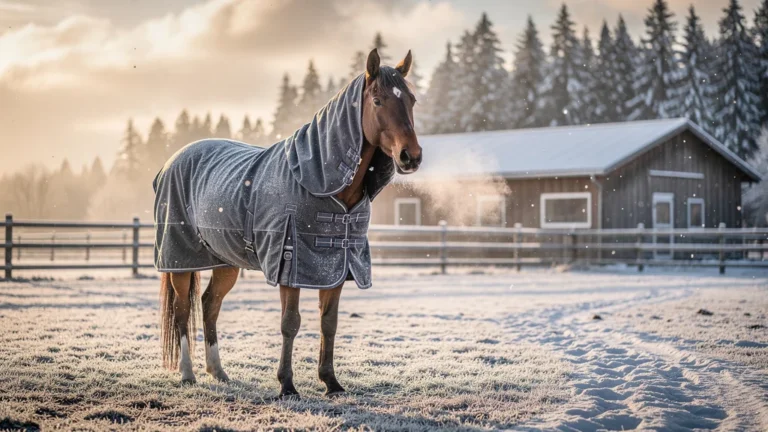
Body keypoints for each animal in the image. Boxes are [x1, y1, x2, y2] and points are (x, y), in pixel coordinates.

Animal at [152, 48, 421, 399]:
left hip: (225, 262)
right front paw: (287, 385)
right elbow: (290, 323)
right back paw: (187, 374)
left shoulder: (335, 267)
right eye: (377, 100)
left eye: (412, 100)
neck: (317, 180)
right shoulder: (289, 266)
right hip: (179, 261)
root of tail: (172, 161)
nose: (410, 156)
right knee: (183, 310)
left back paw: (218, 371)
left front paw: (331, 383)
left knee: (209, 304)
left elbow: (328, 323)